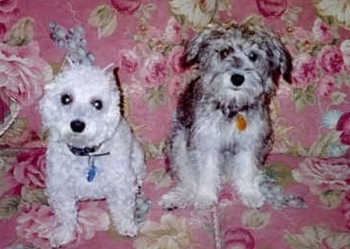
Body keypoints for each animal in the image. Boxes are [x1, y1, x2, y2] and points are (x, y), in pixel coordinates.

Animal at [40, 64, 145, 247]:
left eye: (98, 103)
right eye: (65, 98)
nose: (77, 125)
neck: (86, 153)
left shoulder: (121, 183)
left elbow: (123, 209)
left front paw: (127, 227)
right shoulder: (60, 188)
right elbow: (65, 215)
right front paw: (63, 234)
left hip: (137, 158)